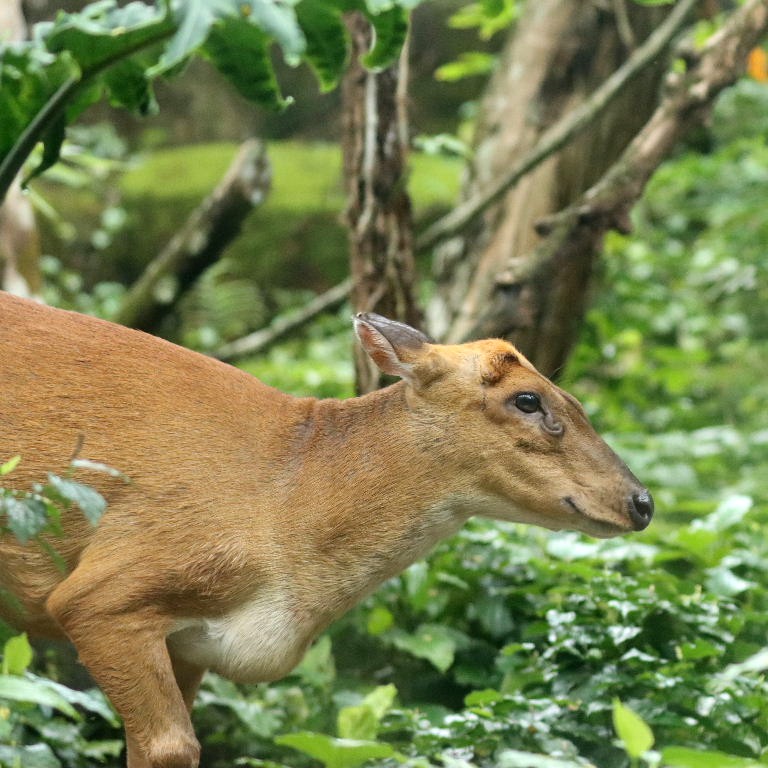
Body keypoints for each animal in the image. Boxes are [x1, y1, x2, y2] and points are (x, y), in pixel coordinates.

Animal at [0, 290, 653, 768]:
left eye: (574, 398)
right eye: (527, 400)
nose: (641, 502)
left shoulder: (187, 644)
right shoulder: (106, 591)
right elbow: (170, 747)